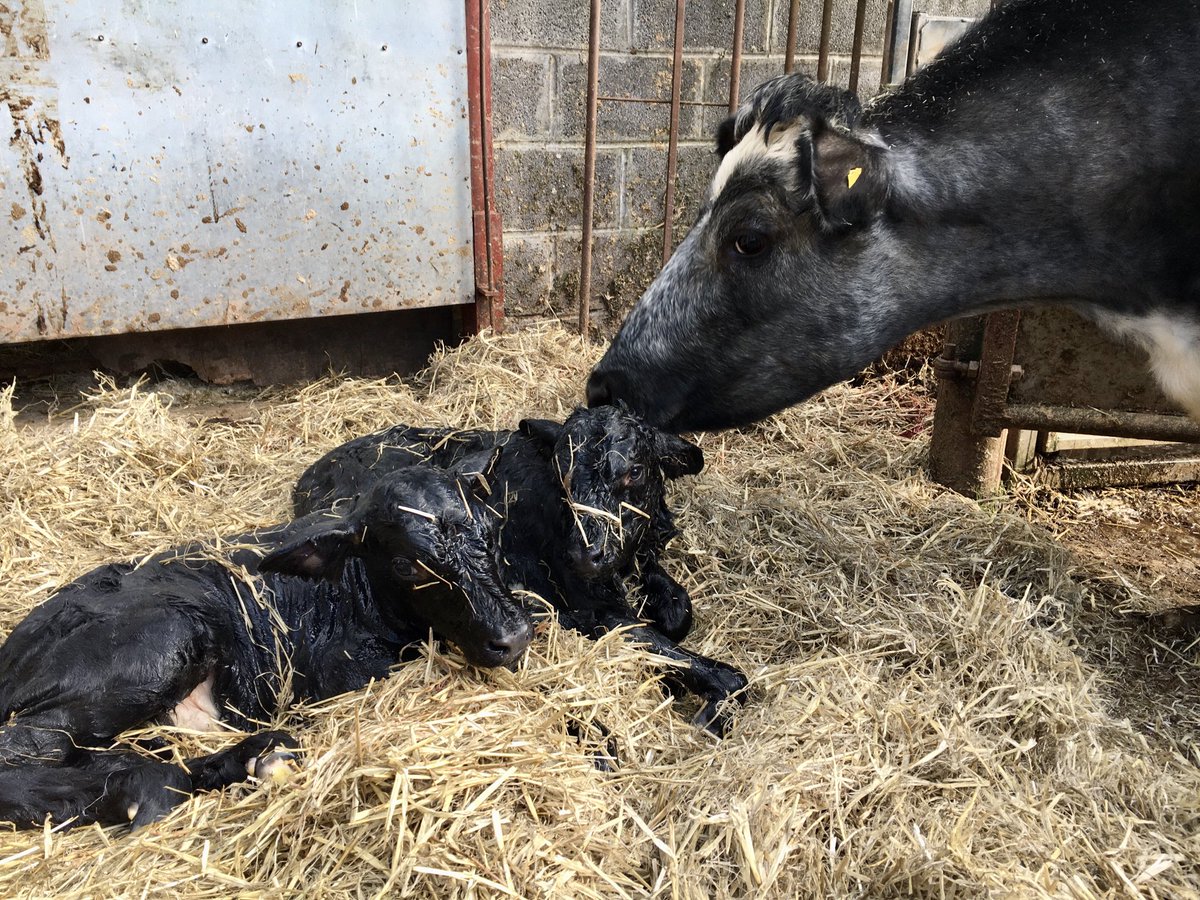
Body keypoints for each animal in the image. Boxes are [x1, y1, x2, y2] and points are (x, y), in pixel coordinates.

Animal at [0, 466, 532, 830]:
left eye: (490, 532)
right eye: (407, 566)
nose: (512, 636)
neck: (353, 592)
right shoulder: (337, 674)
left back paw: (257, 756)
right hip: (157, 647)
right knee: (26, 748)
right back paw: (143, 786)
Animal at [293, 405, 749, 734]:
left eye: (634, 472)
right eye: (562, 475)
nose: (584, 555)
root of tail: (310, 475)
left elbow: (677, 611)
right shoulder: (586, 606)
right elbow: (700, 664)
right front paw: (710, 703)